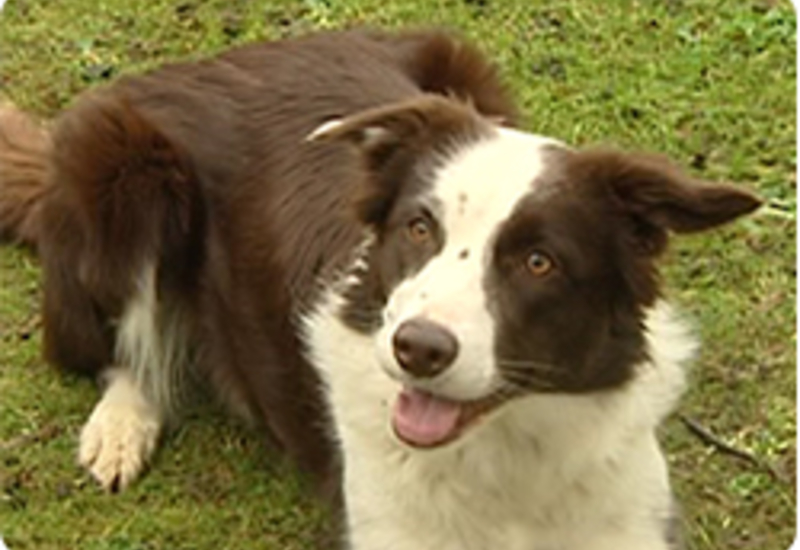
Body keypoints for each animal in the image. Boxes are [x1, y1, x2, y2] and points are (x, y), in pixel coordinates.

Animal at [0, 30, 764, 550]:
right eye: (419, 228)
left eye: (539, 262)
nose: (417, 349)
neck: (503, 453)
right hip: (123, 172)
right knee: (116, 351)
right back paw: (120, 425)